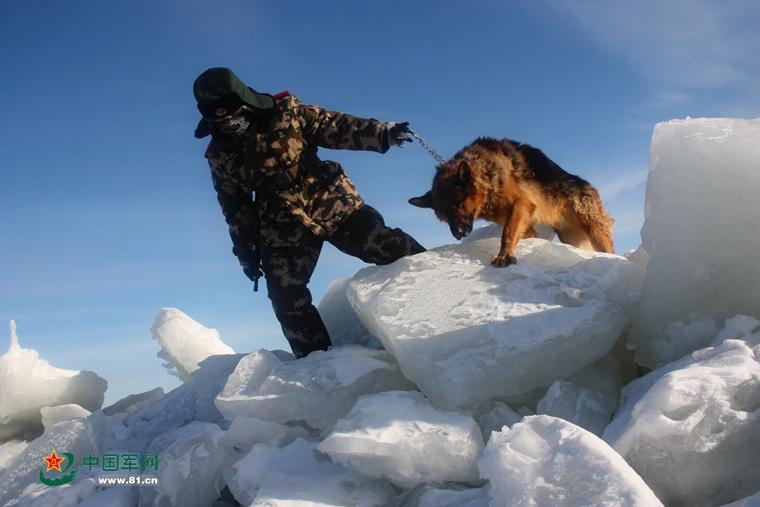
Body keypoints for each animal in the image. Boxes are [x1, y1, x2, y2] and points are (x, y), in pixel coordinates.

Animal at [406, 137, 616, 268]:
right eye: (443, 217)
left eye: (457, 203)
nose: (458, 235)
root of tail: (587, 185)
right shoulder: (525, 222)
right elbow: (520, 233)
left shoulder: (521, 204)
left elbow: (506, 234)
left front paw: (504, 255)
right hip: (572, 237)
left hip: (593, 226)